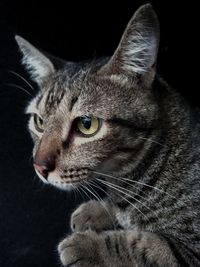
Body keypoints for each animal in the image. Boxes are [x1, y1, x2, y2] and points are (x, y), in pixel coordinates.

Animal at [15, 4, 200, 267]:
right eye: (39, 122)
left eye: (86, 124)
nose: (39, 167)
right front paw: (99, 210)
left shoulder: (189, 249)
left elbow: (146, 245)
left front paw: (88, 245)